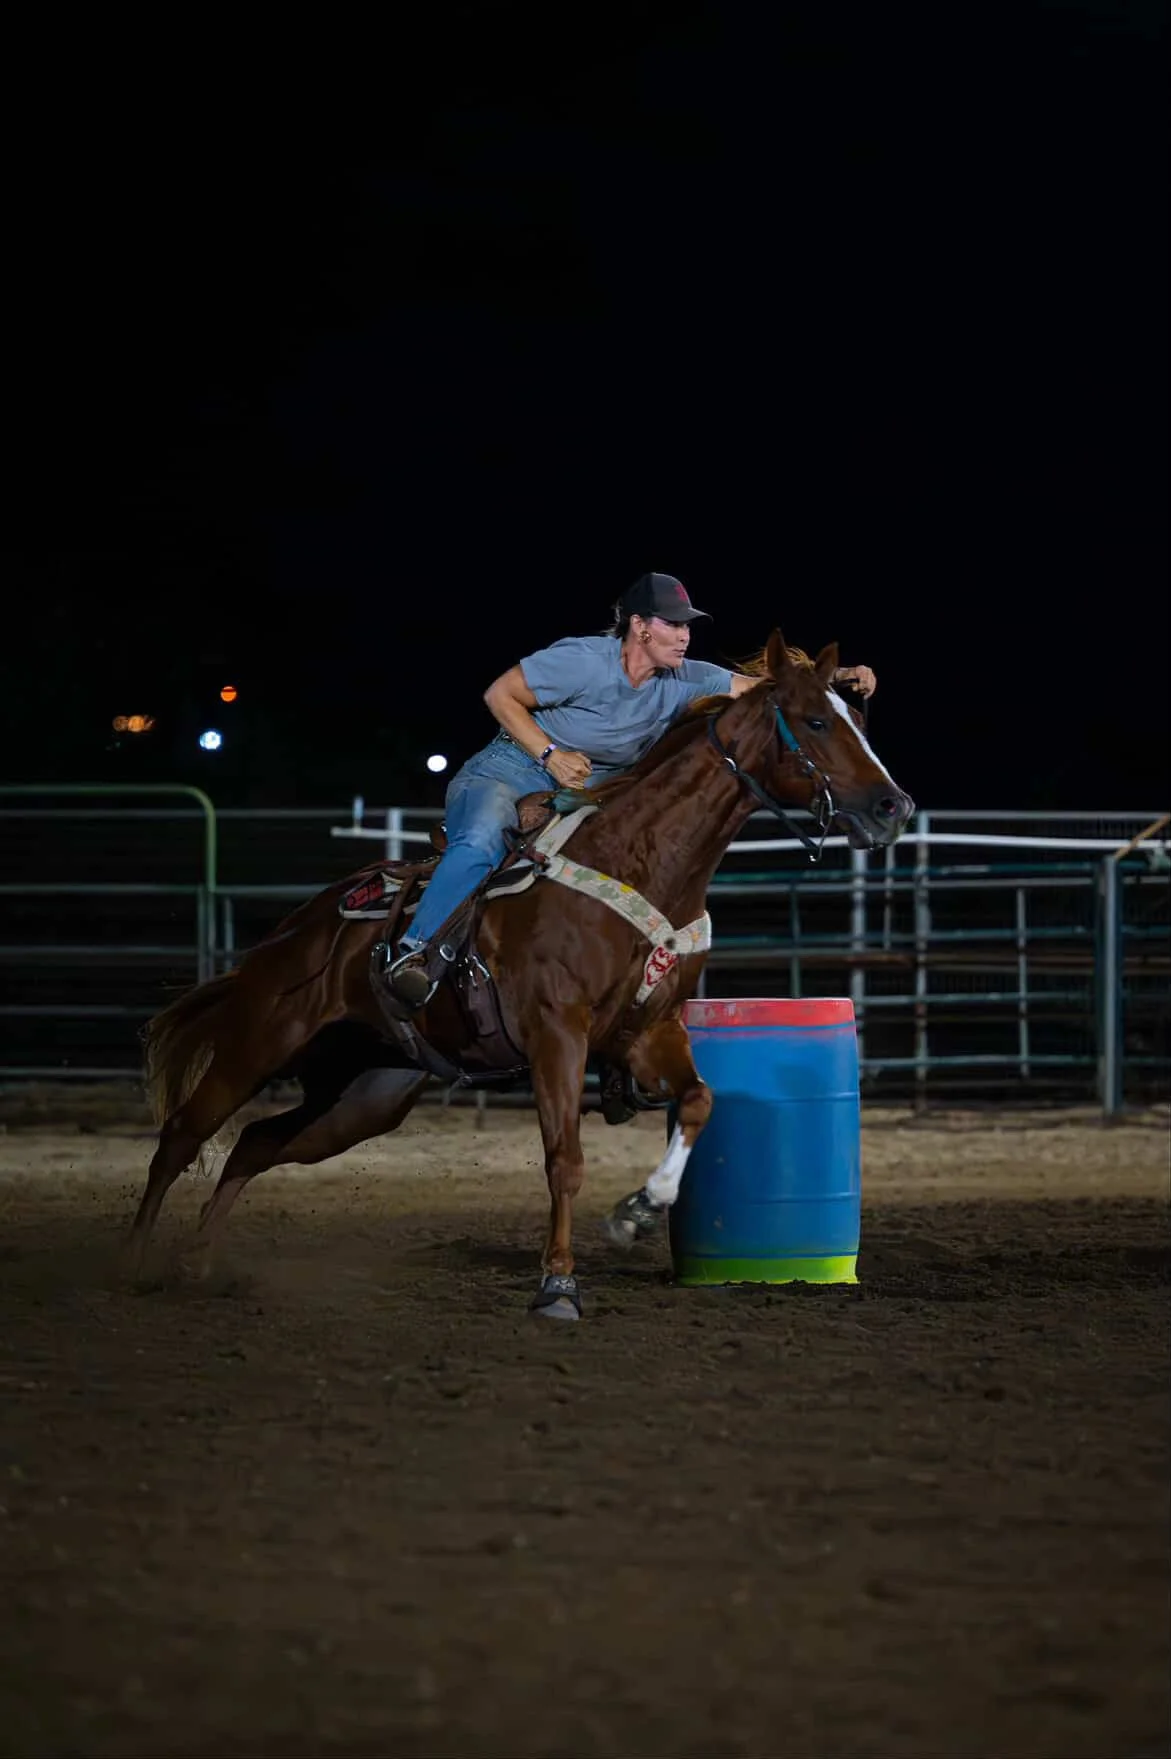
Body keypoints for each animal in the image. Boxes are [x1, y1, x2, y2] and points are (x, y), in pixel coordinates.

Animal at [127, 631, 912, 1318]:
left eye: (859, 718)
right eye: (816, 720)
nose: (894, 807)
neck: (642, 859)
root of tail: (302, 925)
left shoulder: (647, 1031)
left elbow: (698, 1102)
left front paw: (637, 1212)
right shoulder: (554, 1035)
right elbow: (564, 1159)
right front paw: (557, 1286)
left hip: (362, 1093)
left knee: (256, 1144)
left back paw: (199, 1262)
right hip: (260, 1043)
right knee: (183, 1137)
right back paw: (133, 1259)